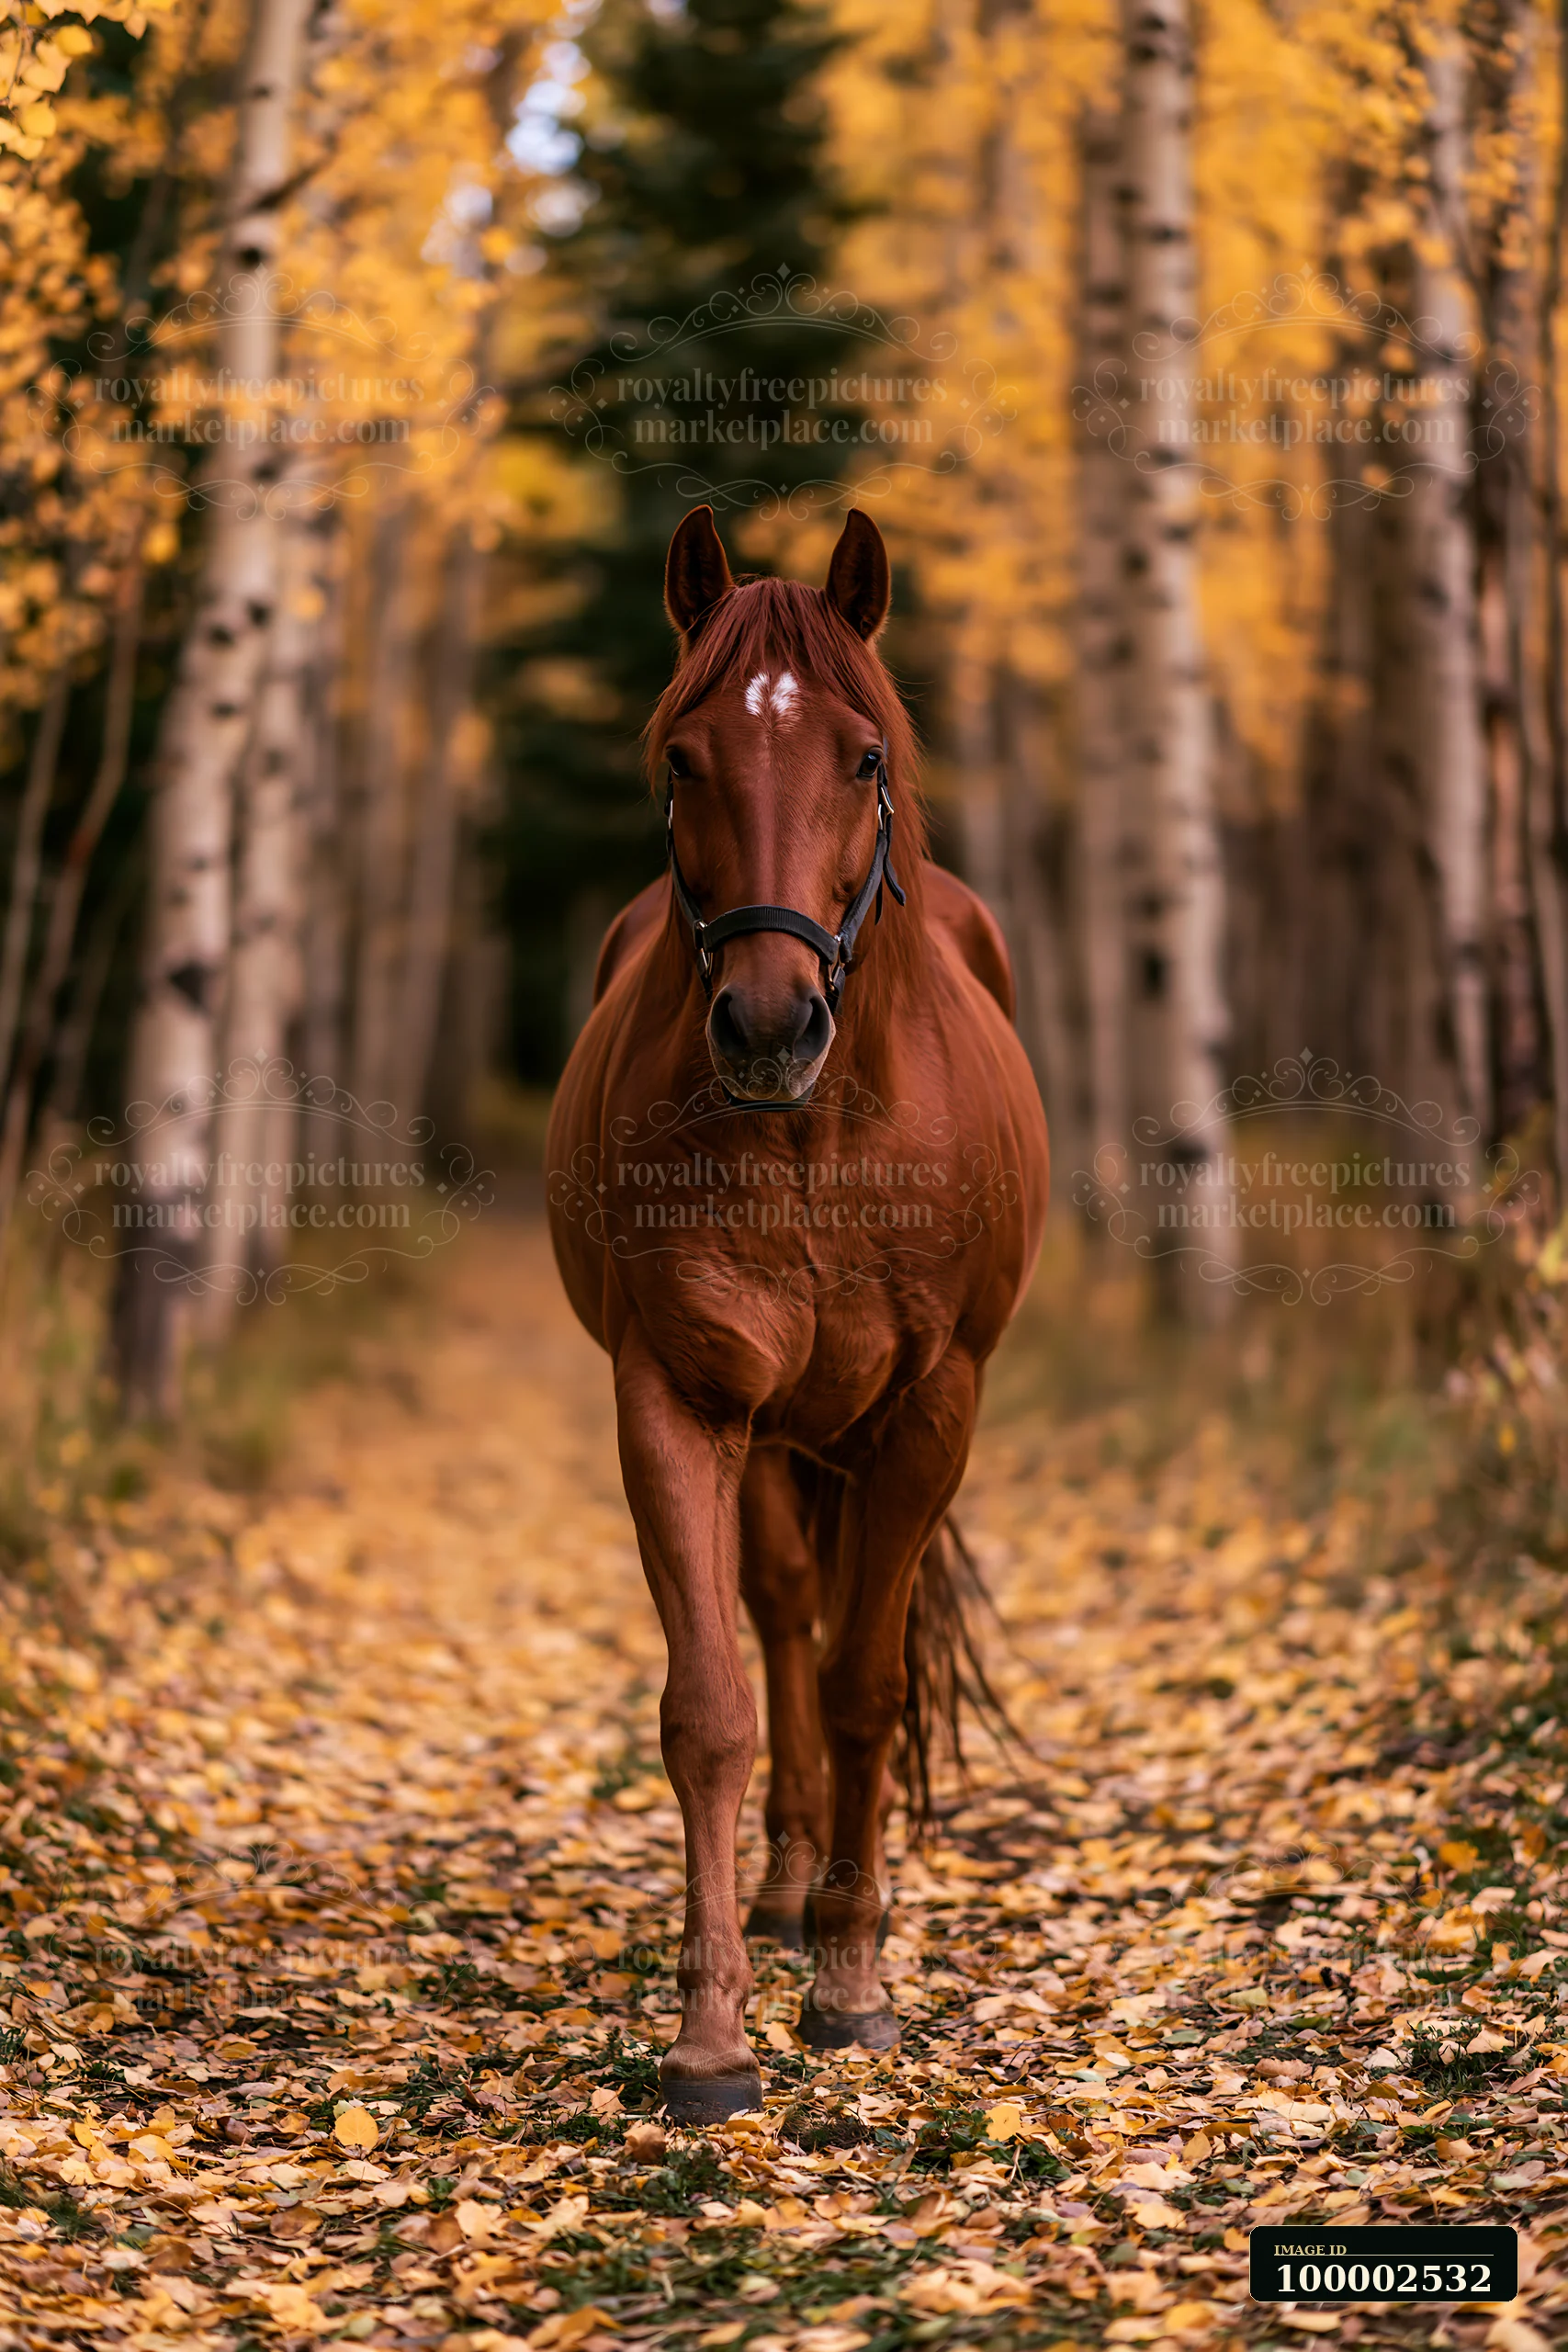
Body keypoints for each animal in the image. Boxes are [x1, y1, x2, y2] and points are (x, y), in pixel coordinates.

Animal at [547, 506, 1049, 2121]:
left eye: (863, 757)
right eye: (681, 757)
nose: (768, 1025)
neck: (817, 1135)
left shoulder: (929, 1411)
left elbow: (863, 1691)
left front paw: (850, 1981)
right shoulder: (677, 1401)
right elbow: (711, 1705)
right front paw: (710, 2034)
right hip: (768, 1435)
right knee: (774, 1612)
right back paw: (776, 1889)